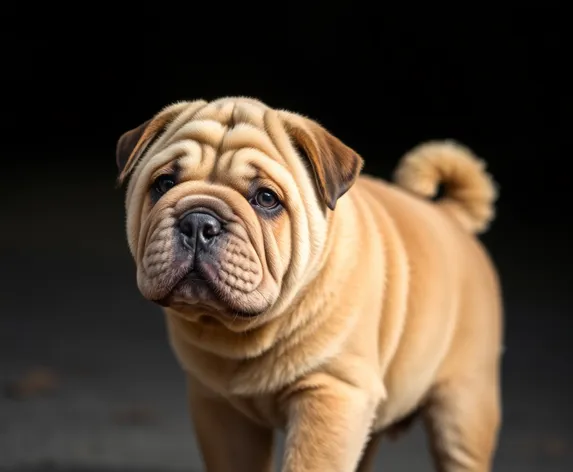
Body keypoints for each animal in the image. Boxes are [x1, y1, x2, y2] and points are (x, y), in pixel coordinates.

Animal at [115, 97, 500, 472]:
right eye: (163, 185)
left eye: (266, 199)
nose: (198, 222)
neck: (244, 331)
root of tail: (451, 214)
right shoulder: (219, 408)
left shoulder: (332, 393)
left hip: (463, 408)